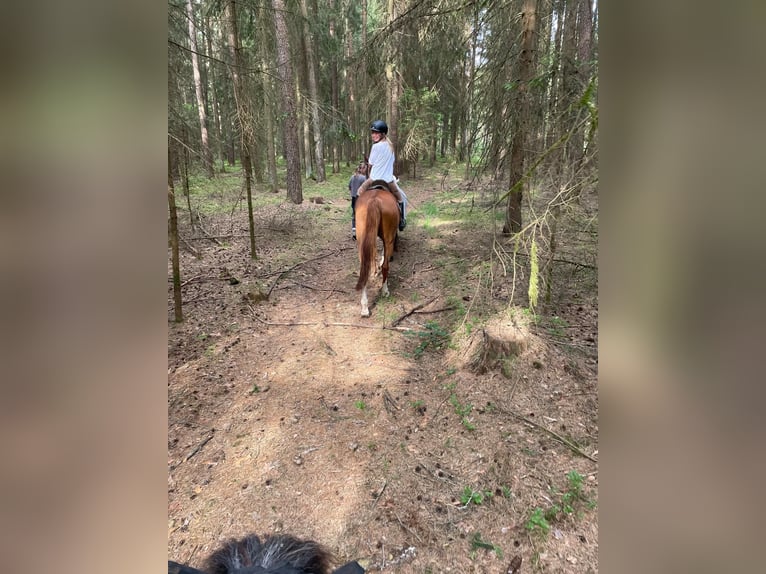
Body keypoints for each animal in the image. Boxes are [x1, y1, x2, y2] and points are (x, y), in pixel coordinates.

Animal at [354, 179, 400, 317]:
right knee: (385, 266)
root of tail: (374, 201)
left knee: (364, 267)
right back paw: (385, 290)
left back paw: (364, 307)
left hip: (362, 238)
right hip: (389, 237)